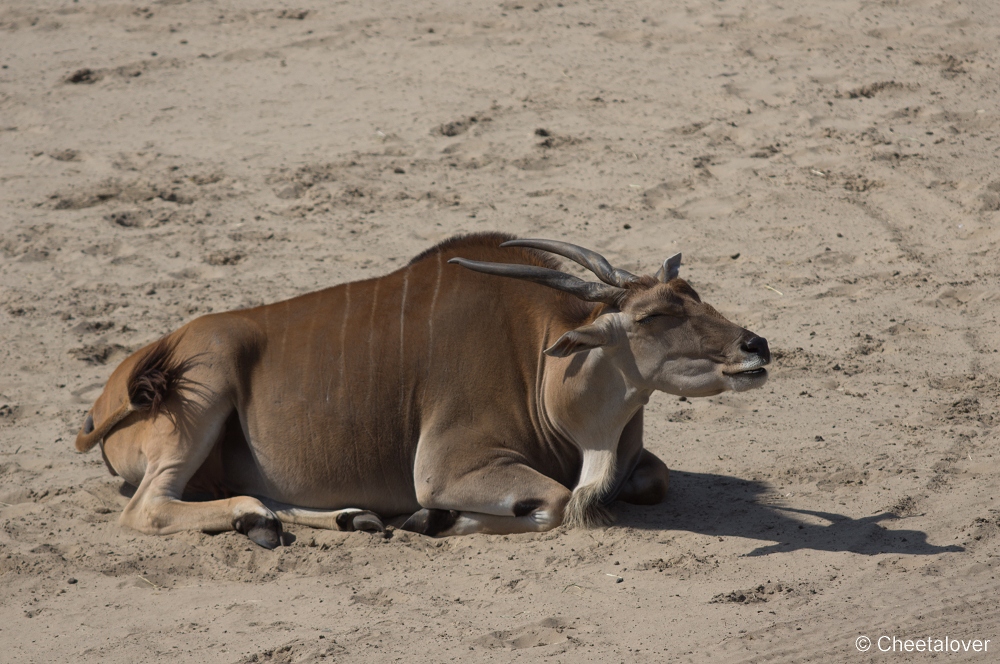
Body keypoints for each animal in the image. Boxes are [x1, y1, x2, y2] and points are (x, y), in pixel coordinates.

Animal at [74, 236, 768, 548]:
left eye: (695, 294)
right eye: (654, 315)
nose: (755, 347)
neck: (542, 359)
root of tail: (109, 394)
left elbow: (654, 479)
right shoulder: (449, 468)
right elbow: (554, 501)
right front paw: (429, 518)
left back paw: (338, 517)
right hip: (205, 387)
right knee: (148, 508)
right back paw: (257, 517)